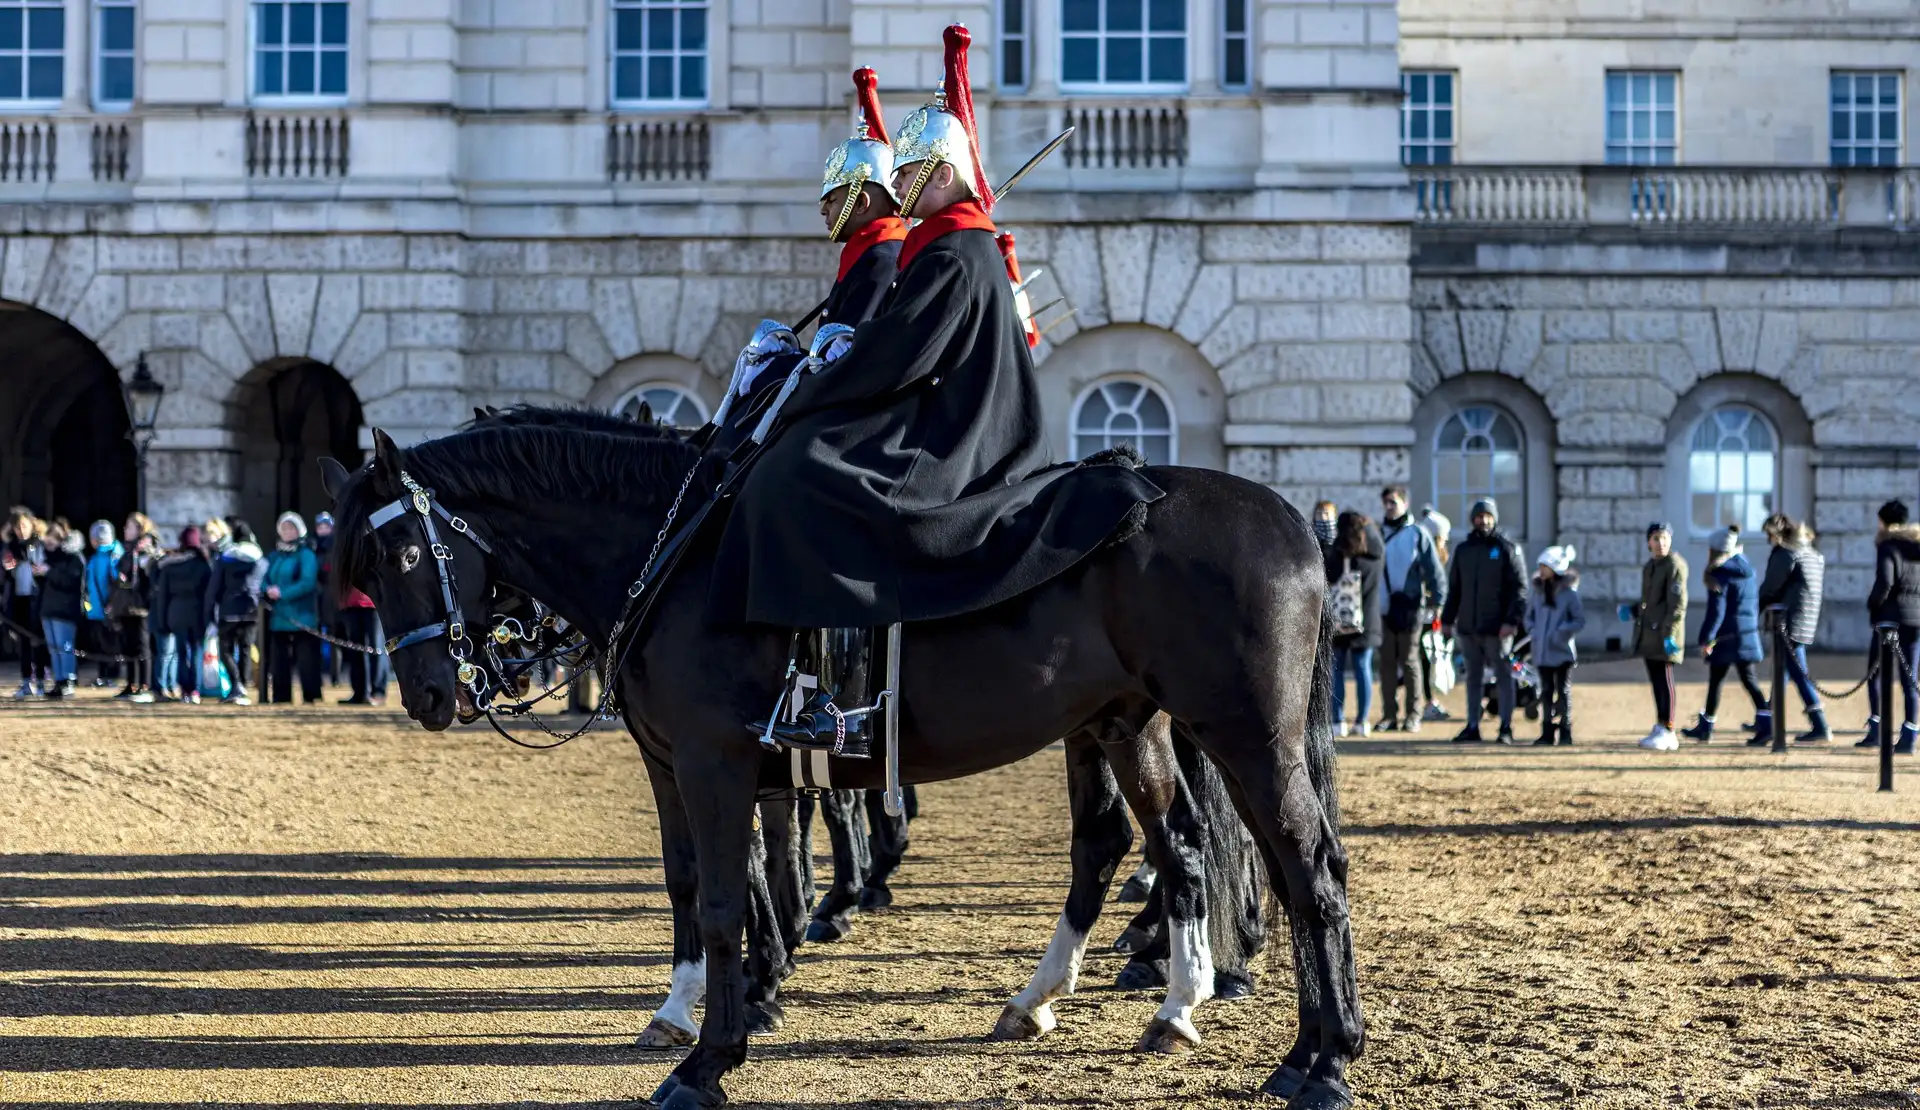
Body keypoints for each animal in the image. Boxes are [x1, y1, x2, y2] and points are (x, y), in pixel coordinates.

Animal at [322, 416, 1362, 1110]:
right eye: (365, 564)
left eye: (403, 549)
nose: (428, 695)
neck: (677, 554)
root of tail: (1290, 519)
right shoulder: (675, 766)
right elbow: (691, 883)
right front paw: (695, 1007)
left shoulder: (717, 763)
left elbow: (729, 895)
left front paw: (713, 1053)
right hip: (1126, 724)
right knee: (1175, 845)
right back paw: (1163, 1007)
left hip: (1243, 734)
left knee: (1301, 866)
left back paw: (1321, 1057)